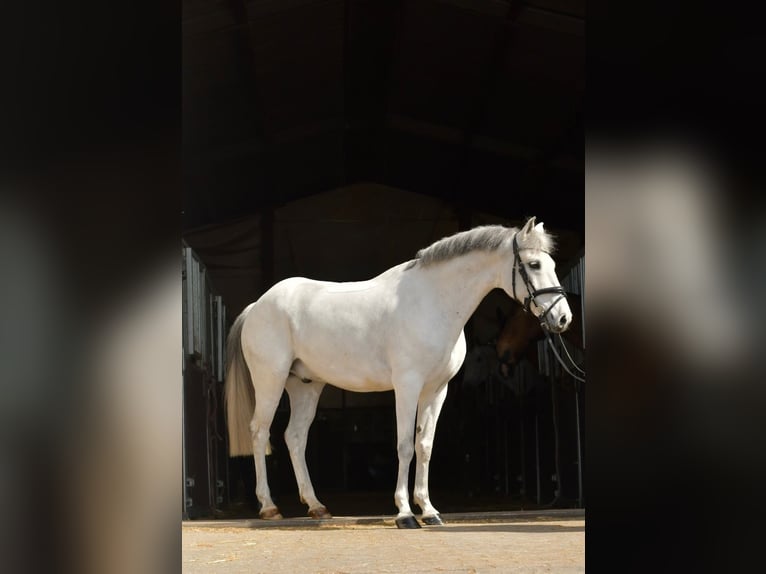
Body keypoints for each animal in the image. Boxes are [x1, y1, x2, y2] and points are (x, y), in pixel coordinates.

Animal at [224, 216, 573, 528]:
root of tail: (256, 306)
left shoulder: (436, 389)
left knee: (294, 437)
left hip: (306, 386)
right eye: (534, 265)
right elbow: (404, 445)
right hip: (270, 381)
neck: (433, 302)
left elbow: (425, 446)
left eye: (551, 263)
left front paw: (429, 511)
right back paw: (268, 507)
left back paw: (316, 506)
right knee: (260, 432)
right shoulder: (407, 386)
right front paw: (405, 513)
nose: (563, 318)